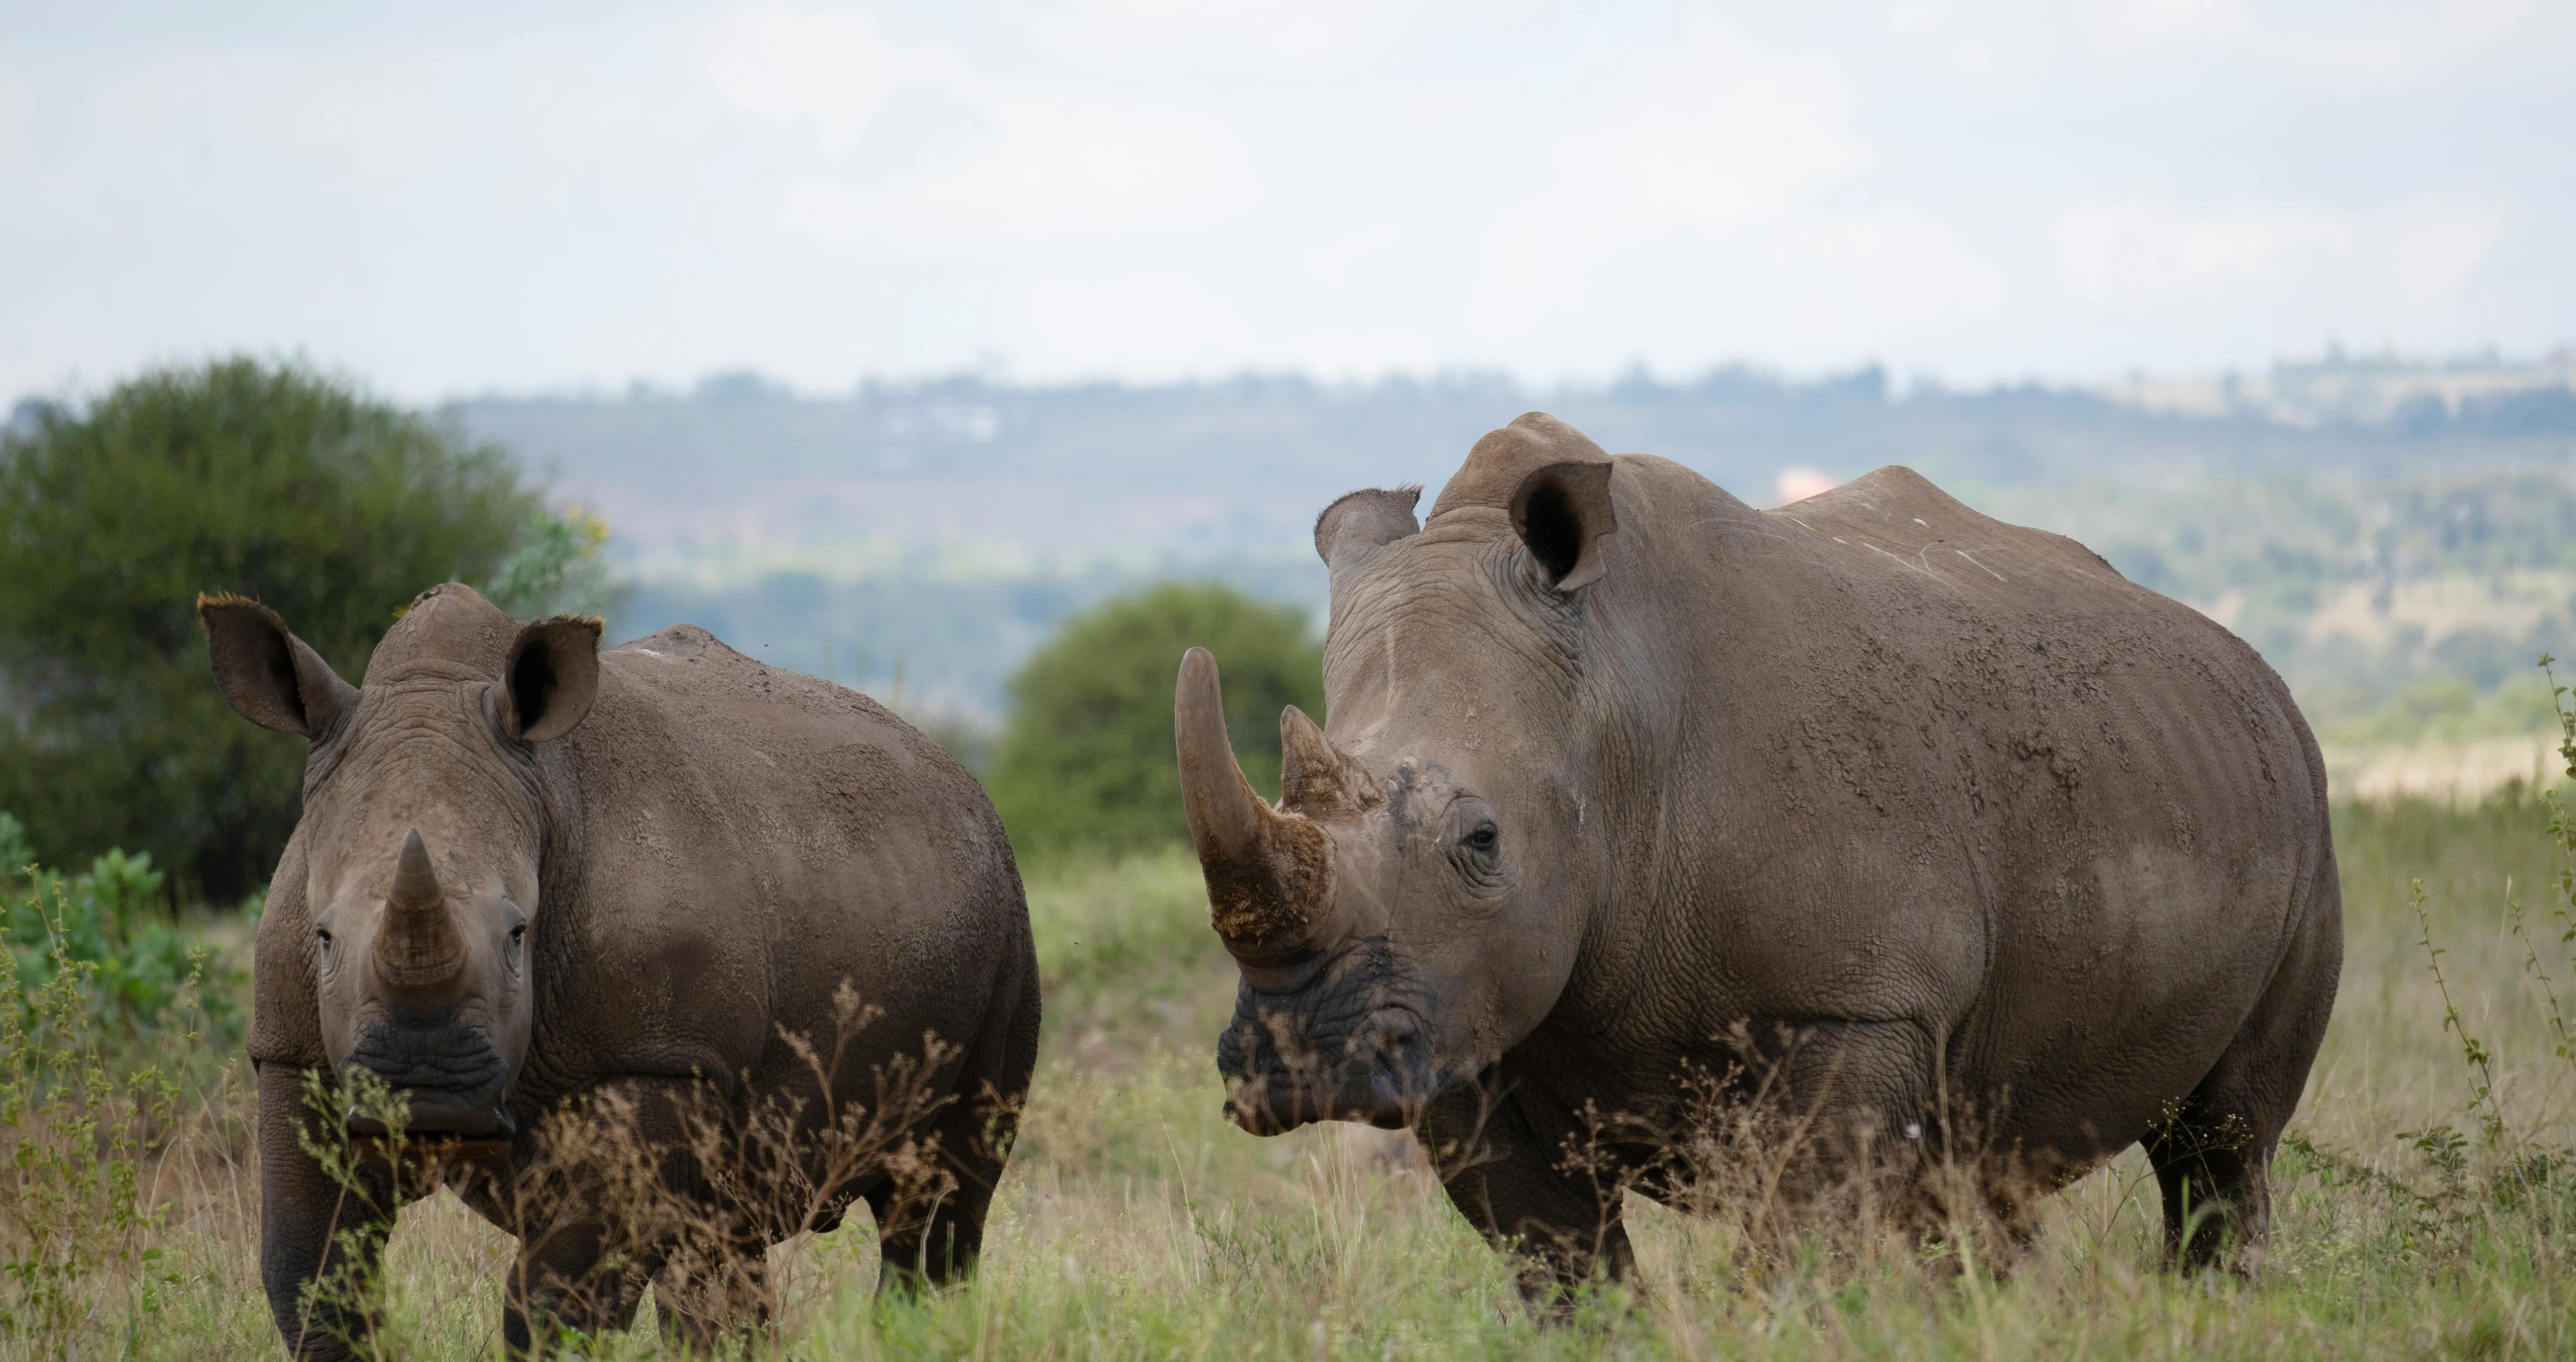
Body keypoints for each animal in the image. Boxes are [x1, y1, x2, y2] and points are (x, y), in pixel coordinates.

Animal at [204, 585, 1039, 1357]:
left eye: (520, 935)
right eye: (322, 937)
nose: (424, 1091)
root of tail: (958, 776)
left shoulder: (652, 1059)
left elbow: (556, 1304)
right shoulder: (294, 1050)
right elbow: (313, 1275)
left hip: (1007, 913)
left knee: (942, 1202)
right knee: (722, 1241)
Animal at [1177, 413, 2340, 1293]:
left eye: (1481, 839)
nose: (1299, 1067)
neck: (1613, 715)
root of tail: (2248, 664)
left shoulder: (1854, 1002)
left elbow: (1793, 1248)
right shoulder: (1466, 1015)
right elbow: (1566, 1271)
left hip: (2301, 809)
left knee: (2222, 1143)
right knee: (1977, 1175)